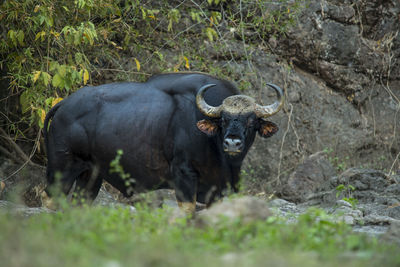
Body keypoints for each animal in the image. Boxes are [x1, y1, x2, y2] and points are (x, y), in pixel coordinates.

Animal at [43, 73, 284, 214]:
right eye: (223, 119)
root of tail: (65, 104)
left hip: (91, 175)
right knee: (50, 199)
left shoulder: (221, 188)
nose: (232, 142)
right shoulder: (184, 175)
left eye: (251, 121)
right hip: (61, 168)